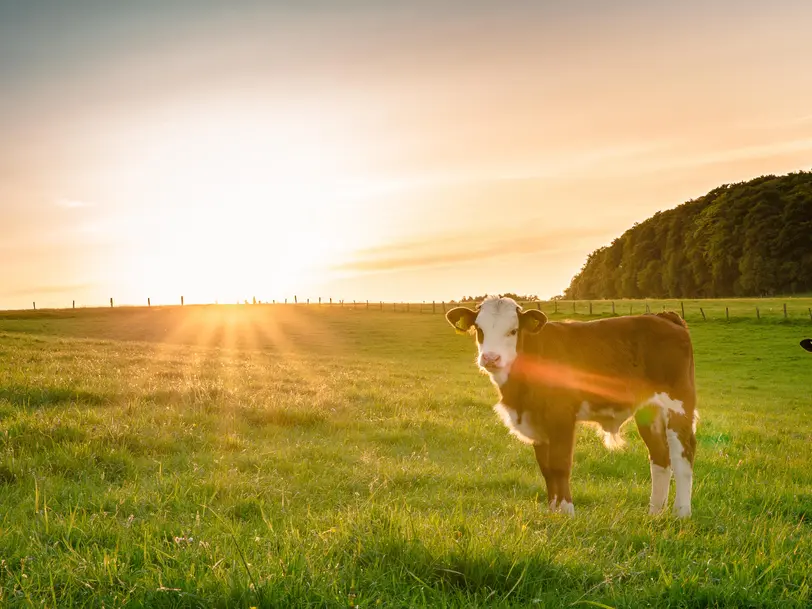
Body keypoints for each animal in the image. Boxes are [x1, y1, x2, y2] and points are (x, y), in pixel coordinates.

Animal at [444, 296, 696, 516]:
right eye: (479, 329)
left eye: (513, 331)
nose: (490, 358)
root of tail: (663, 316)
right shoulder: (536, 421)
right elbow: (546, 469)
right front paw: (552, 512)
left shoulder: (562, 416)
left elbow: (560, 465)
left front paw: (567, 512)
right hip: (649, 409)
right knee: (660, 457)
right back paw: (654, 513)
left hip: (679, 403)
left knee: (683, 454)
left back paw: (681, 513)